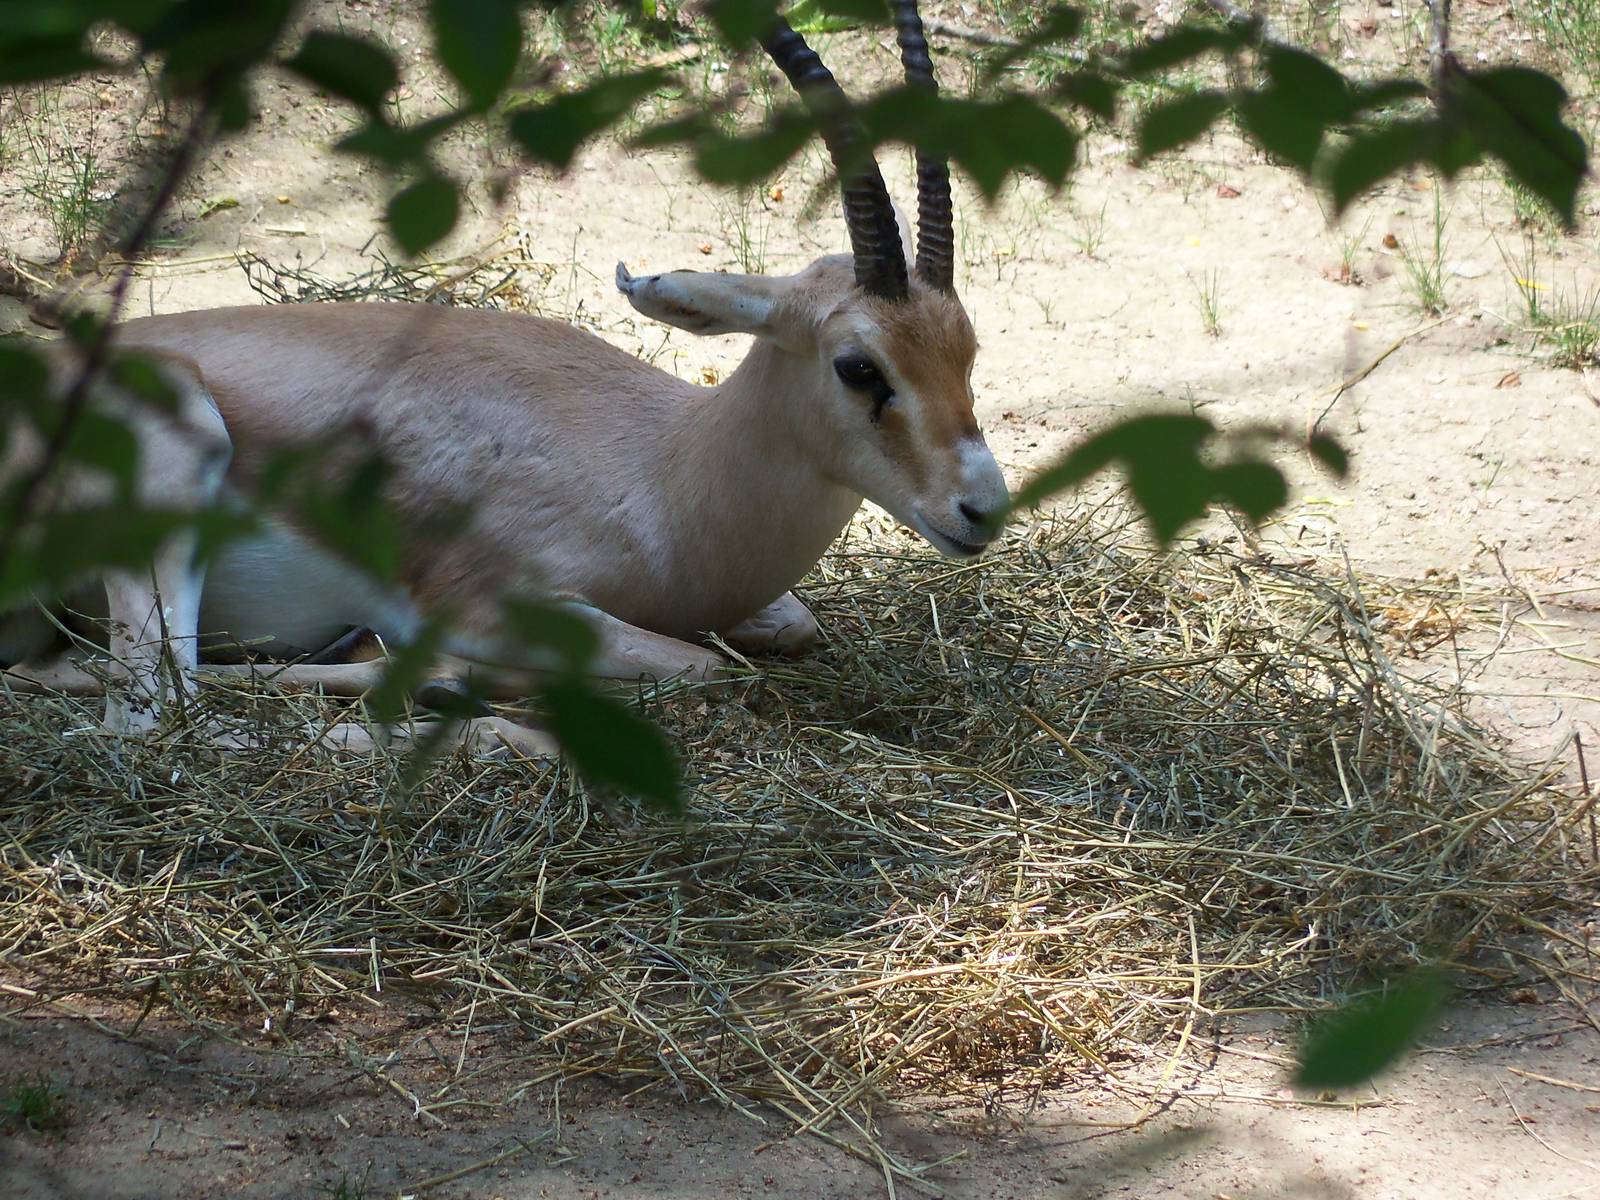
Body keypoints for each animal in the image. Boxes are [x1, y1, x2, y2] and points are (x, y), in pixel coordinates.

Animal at [0, 1, 1009, 757]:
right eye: (859, 366)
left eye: (967, 349)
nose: (981, 509)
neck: (664, 473)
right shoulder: (496, 606)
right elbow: (702, 665)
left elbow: (789, 626)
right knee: (153, 716)